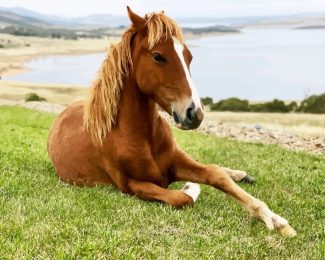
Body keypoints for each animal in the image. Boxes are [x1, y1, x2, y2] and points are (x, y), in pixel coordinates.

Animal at [47, 7, 296, 237]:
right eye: (158, 56)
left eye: (189, 57)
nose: (195, 113)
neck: (139, 136)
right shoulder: (132, 185)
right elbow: (182, 197)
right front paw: (190, 186)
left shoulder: (176, 160)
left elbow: (215, 174)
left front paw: (275, 219)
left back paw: (241, 175)